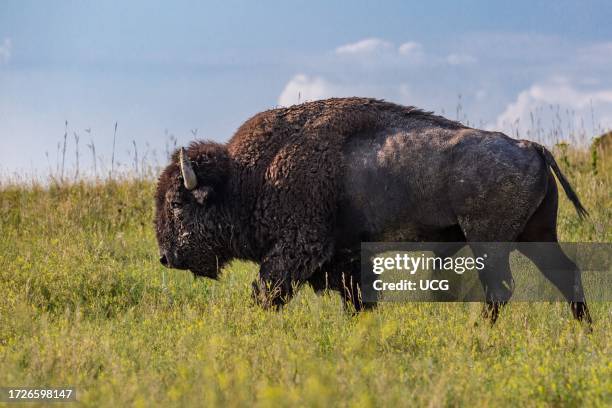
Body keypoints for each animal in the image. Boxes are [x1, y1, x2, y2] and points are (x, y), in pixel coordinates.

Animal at [155, 97, 592, 324]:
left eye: (176, 203)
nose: (165, 257)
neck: (249, 176)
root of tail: (530, 146)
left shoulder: (296, 251)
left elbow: (267, 291)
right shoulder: (347, 260)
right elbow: (358, 299)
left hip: (490, 241)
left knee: (500, 289)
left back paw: (477, 333)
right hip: (535, 236)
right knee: (564, 273)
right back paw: (582, 330)